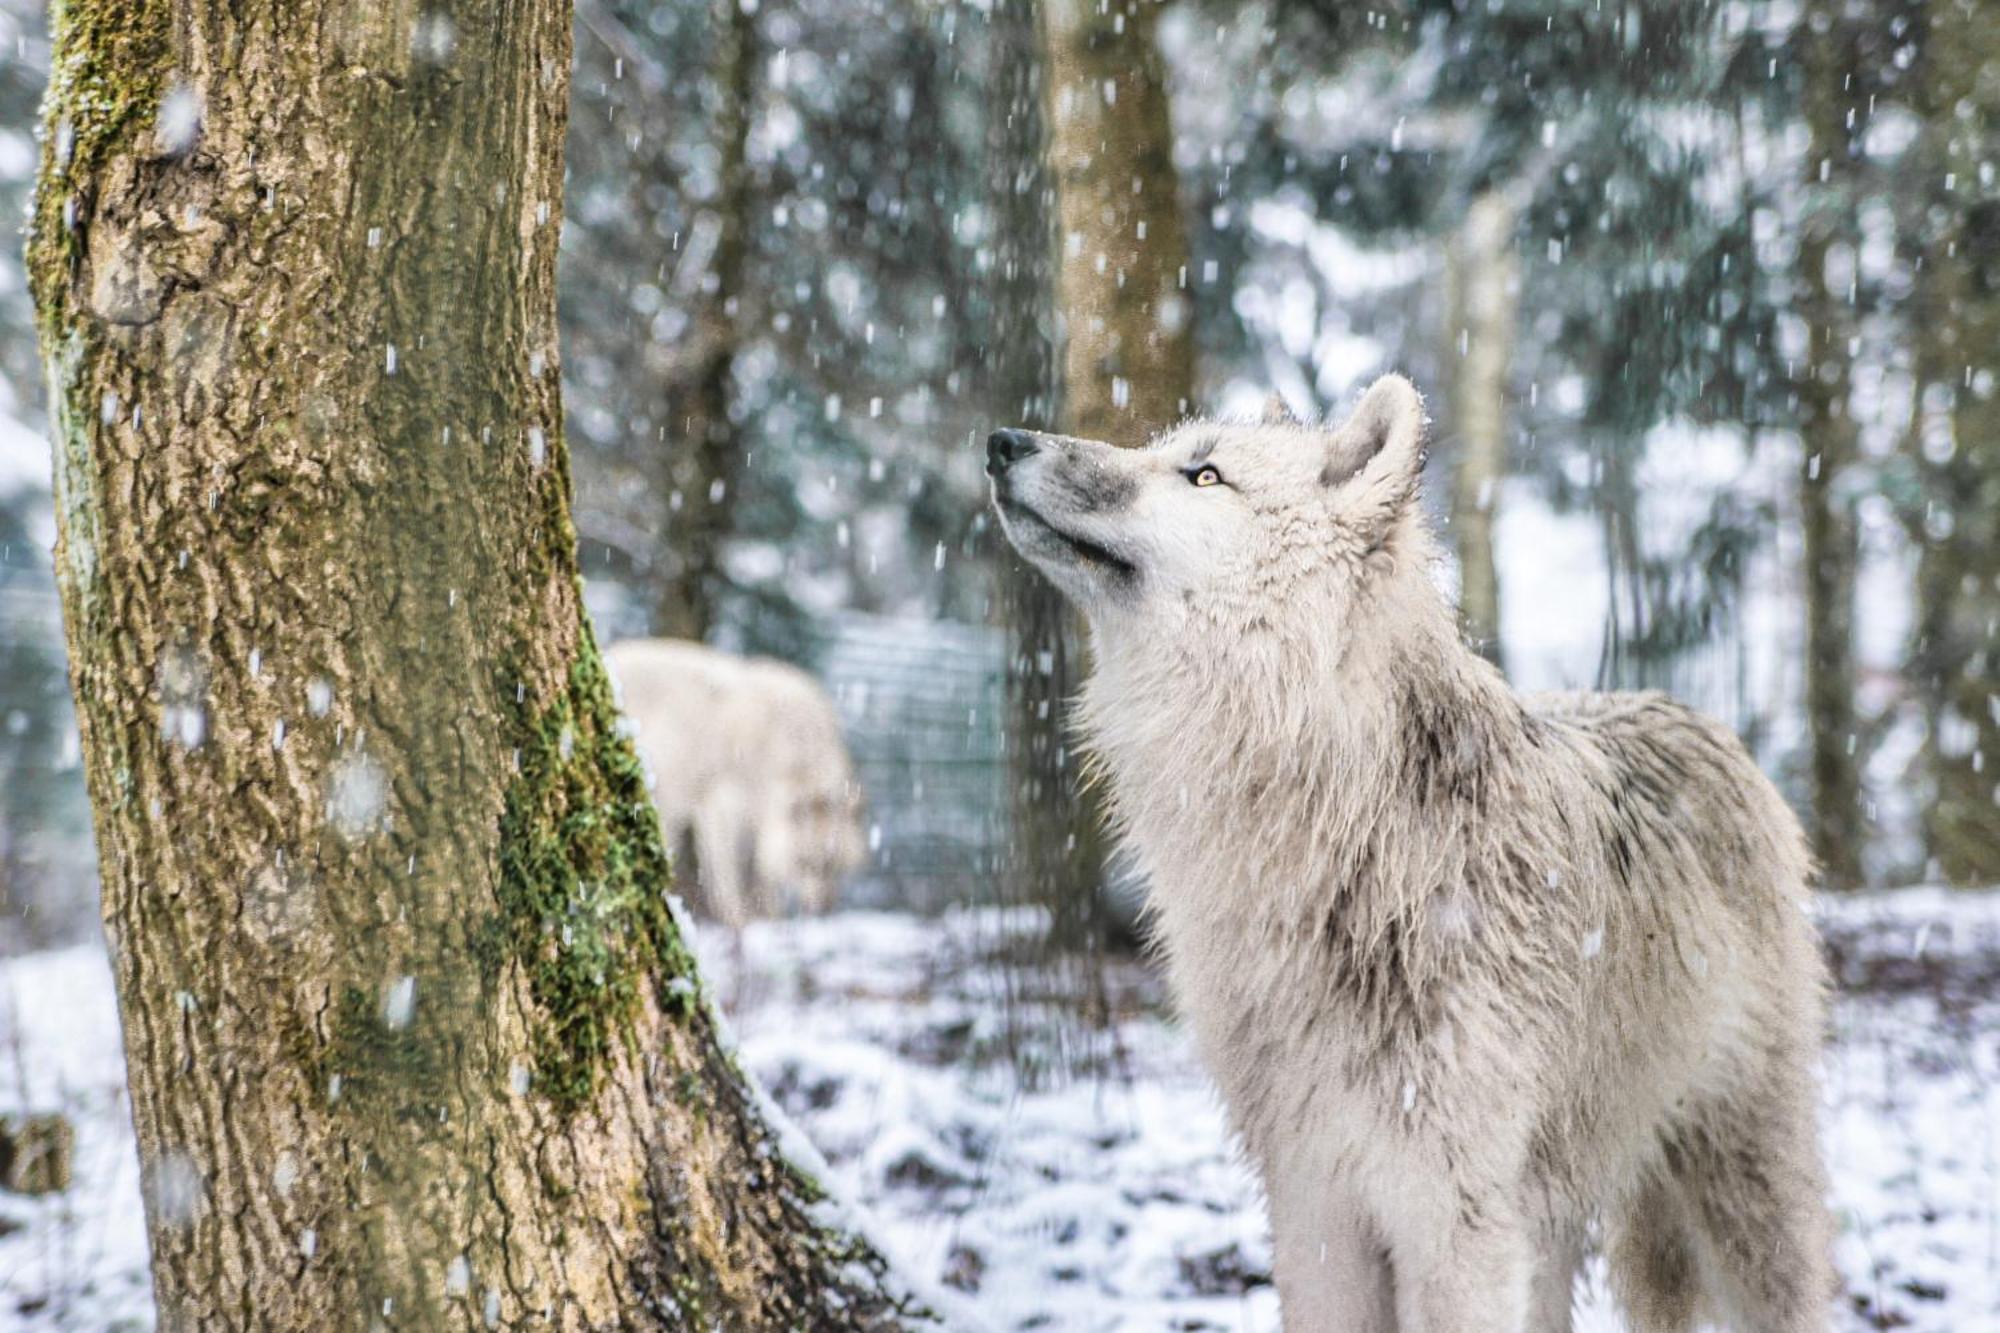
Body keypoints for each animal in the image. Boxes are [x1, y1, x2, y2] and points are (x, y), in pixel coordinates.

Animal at [984, 374, 1832, 1328]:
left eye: (1203, 475)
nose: (1004, 442)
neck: (1345, 849)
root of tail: (1678, 708)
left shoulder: (1452, 1217)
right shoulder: (1314, 1201)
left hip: (1738, 1184)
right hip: (1550, 1217)